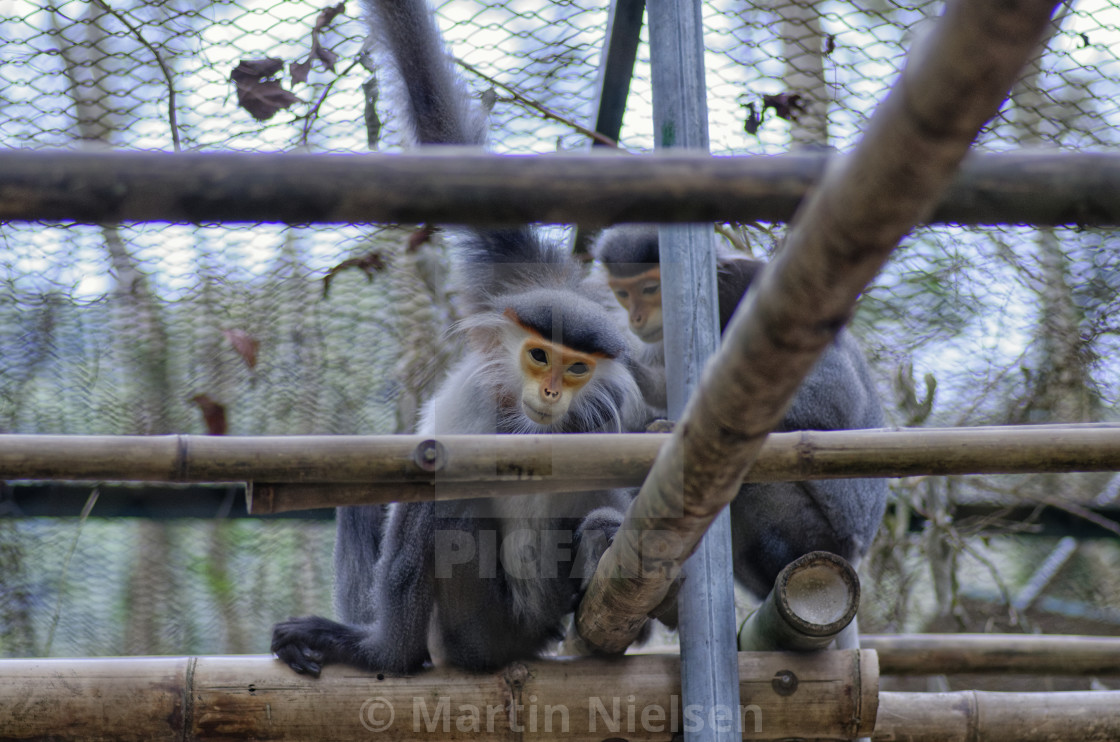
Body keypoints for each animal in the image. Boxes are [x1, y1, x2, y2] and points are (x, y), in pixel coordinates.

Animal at [269, 0, 649, 676]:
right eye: (540, 357)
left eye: (576, 369)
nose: (551, 393)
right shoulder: (533, 283)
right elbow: (436, 113)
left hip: (478, 628)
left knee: (433, 492)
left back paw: (380, 650)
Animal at [591, 226, 887, 605]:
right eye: (623, 293)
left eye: (649, 289)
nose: (636, 317)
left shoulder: (751, 286)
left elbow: (836, 399)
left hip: (817, 533)